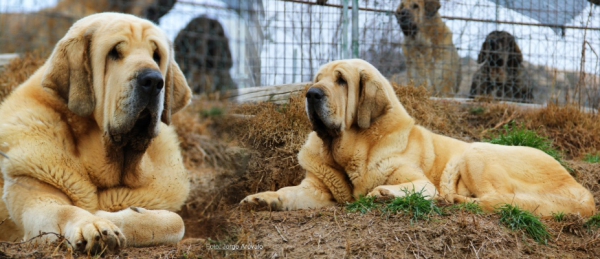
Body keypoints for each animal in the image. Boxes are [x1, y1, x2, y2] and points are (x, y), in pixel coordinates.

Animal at [0, 13, 191, 255]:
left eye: (157, 55)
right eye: (114, 53)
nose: (154, 81)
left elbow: (176, 222)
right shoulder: (32, 185)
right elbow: (66, 210)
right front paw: (94, 224)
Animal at [241, 59, 596, 219]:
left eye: (340, 80)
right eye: (318, 79)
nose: (311, 93)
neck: (350, 150)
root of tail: (583, 192)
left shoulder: (419, 181)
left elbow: (407, 187)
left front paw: (383, 192)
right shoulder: (316, 189)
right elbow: (289, 192)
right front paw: (264, 199)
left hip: (477, 152)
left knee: (498, 199)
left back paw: (452, 200)